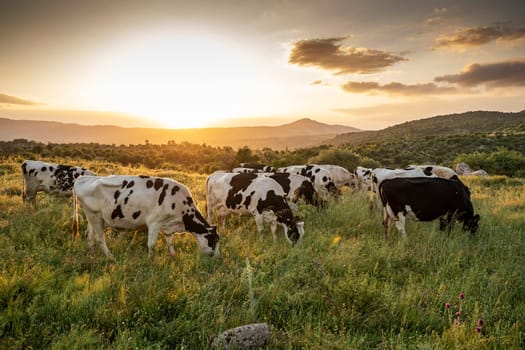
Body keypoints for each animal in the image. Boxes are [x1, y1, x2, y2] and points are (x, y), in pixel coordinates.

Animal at [72, 175, 218, 260]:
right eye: (214, 240)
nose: (217, 257)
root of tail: (83, 178)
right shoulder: (154, 222)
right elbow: (151, 244)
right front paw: (149, 260)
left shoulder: (167, 224)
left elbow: (170, 242)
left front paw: (173, 256)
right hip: (95, 215)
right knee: (99, 238)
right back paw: (111, 258)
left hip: (93, 217)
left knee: (89, 235)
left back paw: (93, 256)